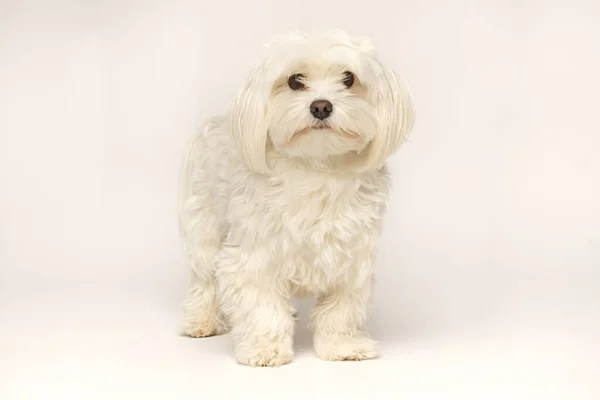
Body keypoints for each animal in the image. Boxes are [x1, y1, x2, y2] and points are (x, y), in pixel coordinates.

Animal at [176, 28, 414, 366]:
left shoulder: (352, 258)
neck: (316, 167)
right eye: (294, 81)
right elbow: (262, 307)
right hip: (204, 228)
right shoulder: (253, 256)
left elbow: (341, 310)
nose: (321, 106)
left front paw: (343, 345)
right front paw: (265, 348)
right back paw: (201, 321)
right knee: (204, 279)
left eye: (349, 79)